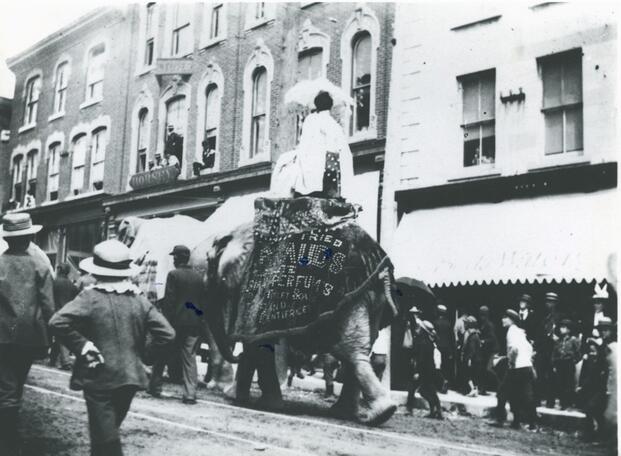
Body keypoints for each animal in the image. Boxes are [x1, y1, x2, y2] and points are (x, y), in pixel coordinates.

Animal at [203, 219, 402, 426]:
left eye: (209, 261)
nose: (237, 357)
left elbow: (256, 341)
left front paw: (254, 402)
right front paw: (241, 398)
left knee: (348, 349)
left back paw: (376, 413)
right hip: (373, 297)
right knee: (359, 347)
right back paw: (358, 413)